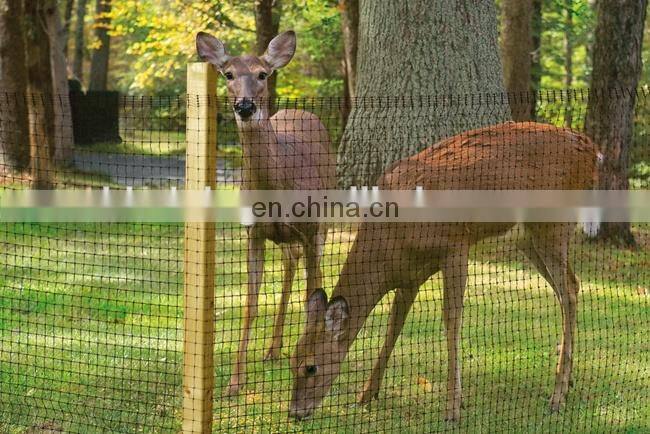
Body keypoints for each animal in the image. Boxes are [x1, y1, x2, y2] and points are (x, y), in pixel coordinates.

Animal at [196, 30, 336, 397]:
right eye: (228, 74)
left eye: (262, 74)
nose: (244, 106)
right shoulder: (254, 232)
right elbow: (250, 303)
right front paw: (234, 382)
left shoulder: (310, 227)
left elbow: (313, 295)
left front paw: (306, 366)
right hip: (286, 236)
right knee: (290, 262)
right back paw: (272, 349)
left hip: (325, 217)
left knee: (313, 271)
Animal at [288, 121, 601, 421]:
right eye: (291, 361)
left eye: (311, 367)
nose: (295, 412)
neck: (393, 240)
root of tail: (592, 150)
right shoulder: (410, 275)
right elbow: (393, 326)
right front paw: (366, 394)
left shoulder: (454, 245)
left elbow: (451, 321)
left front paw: (453, 407)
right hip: (527, 238)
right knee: (568, 288)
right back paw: (567, 381)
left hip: (553, 224)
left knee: (569, 288)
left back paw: (557, 397)